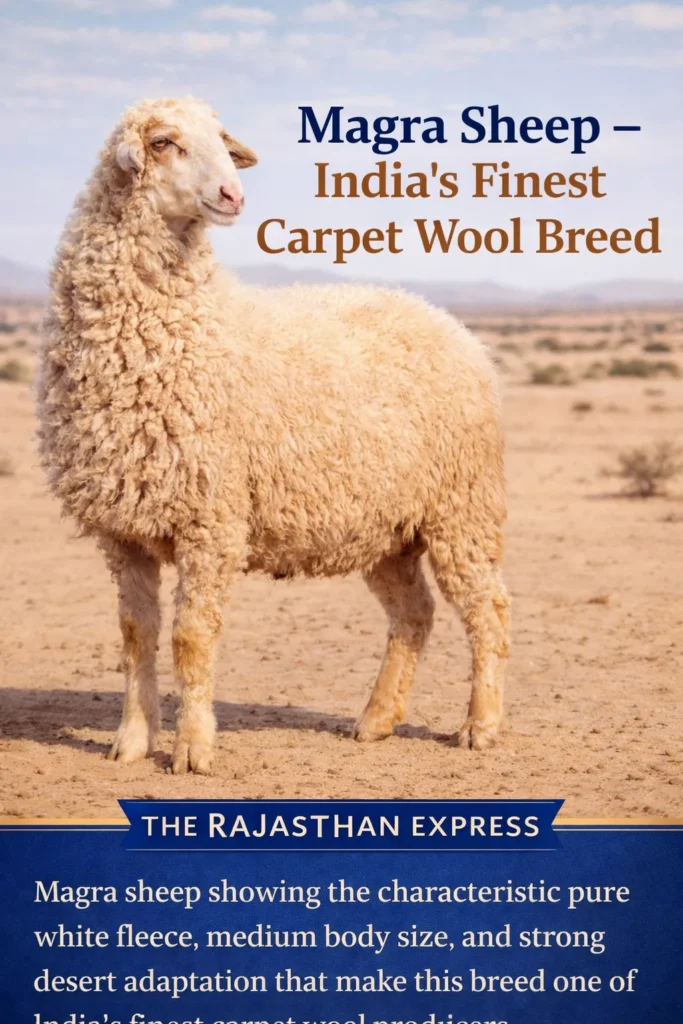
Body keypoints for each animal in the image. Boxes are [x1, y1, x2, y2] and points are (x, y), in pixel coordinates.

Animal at [38, 96, 510, 776]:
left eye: (222, 142)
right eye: (162, 142)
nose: (232, 194)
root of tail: (449, 322)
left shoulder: (211, 518)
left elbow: (190, 637)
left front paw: (192, 750)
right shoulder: (123, 528)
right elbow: (136, 636)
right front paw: (130, 742)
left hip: (461, 507)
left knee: (486, 607)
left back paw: (481, 725)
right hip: (391, 529)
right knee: (414, 615)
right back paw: (375, 720)